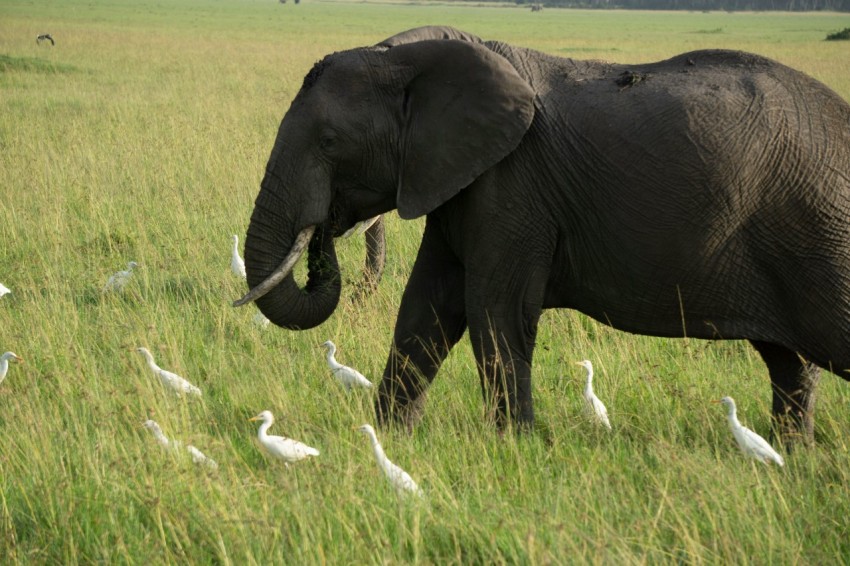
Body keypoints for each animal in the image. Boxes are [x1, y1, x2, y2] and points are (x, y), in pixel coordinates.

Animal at [236, 25, 850, 443]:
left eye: (330, 142)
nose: (324, 228)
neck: (413, 52)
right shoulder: (462, 181)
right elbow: (426, 309)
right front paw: (389, 438)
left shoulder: (513, 185)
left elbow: (493, 311)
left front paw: (516, 446)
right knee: (789, 364)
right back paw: (790, 457)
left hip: (822, 232)